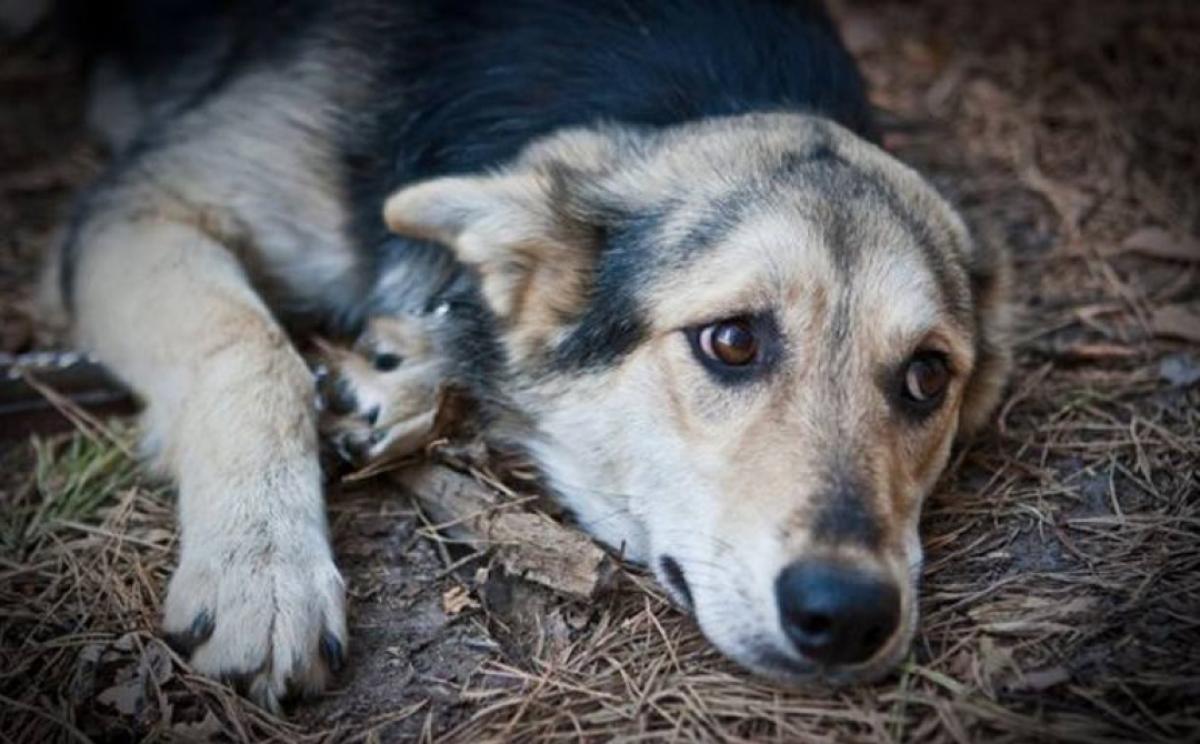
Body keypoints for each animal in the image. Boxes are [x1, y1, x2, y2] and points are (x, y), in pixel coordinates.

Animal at [42, 0, 1008, 710]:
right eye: (733, 340)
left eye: (926, 376)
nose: (848, 617)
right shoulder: (142, 203)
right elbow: (253, 350)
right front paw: (262, 570)